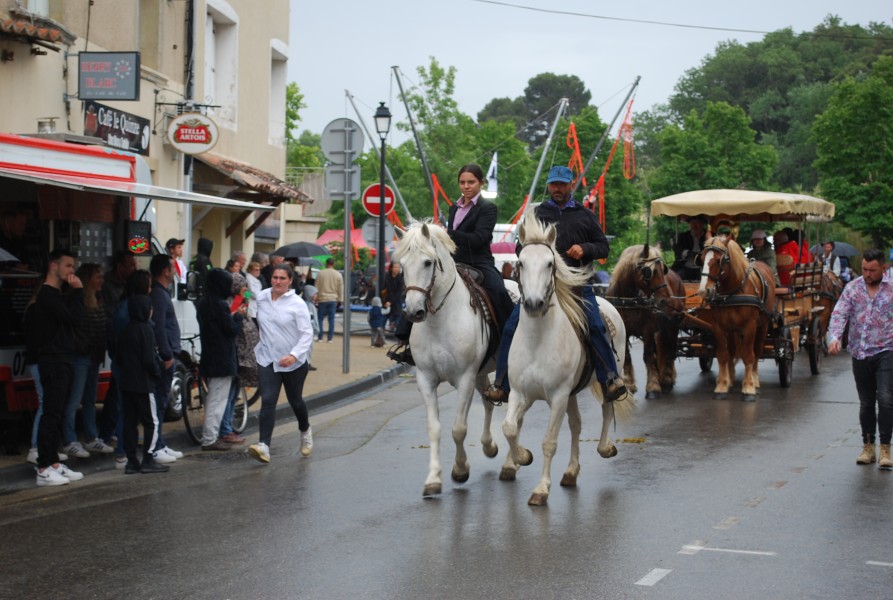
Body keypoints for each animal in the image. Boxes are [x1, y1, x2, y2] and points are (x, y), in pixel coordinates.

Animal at [394, 220, 512, 496]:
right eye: (401, 265)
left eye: (428, 262)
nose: (414, 312)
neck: (440, 320)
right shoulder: (426, 379)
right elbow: (434, 428)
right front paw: (433, 479)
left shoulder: (465, 379)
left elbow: (458, 429)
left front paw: (460, 471)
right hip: (482, 373)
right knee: (489, 403)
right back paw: (489, 446)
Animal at [494, 217, 636, 506]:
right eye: (520, 262)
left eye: (550, 263)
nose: (534, 304)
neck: (538, 341)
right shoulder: (519, 393)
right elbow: (510, 427)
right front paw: (522, 457)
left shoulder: (558, 396)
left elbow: (549, 441)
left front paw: (540, 490)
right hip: (569, 394)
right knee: (575, 425)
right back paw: (570, 472)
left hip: (605, 378)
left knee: (606, 409)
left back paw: (604, 448)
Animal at [608, 244, 688, 398]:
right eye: (650, 272)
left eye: (663, 270)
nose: (666, 300)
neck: (629, 300)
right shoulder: (624, 330)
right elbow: (627, 357)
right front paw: (629, 385)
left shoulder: (648, 329)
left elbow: (648, 356)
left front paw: (652, 387)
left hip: (673, 324)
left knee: (670, 351)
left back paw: (667, 380)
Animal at [696, 237, 772, 400]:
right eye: (702, 258)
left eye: (720, 260)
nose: (704, 291)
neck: (732, 292)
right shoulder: (719, 327)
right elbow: (723, 355)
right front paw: (722, 385)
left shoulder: (749, 327)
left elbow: (749, 355)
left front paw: (748, 387)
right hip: (732, 330)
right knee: (731, 351)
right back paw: (730, 379)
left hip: (763, 325)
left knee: (757, 351)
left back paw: (755, 379)